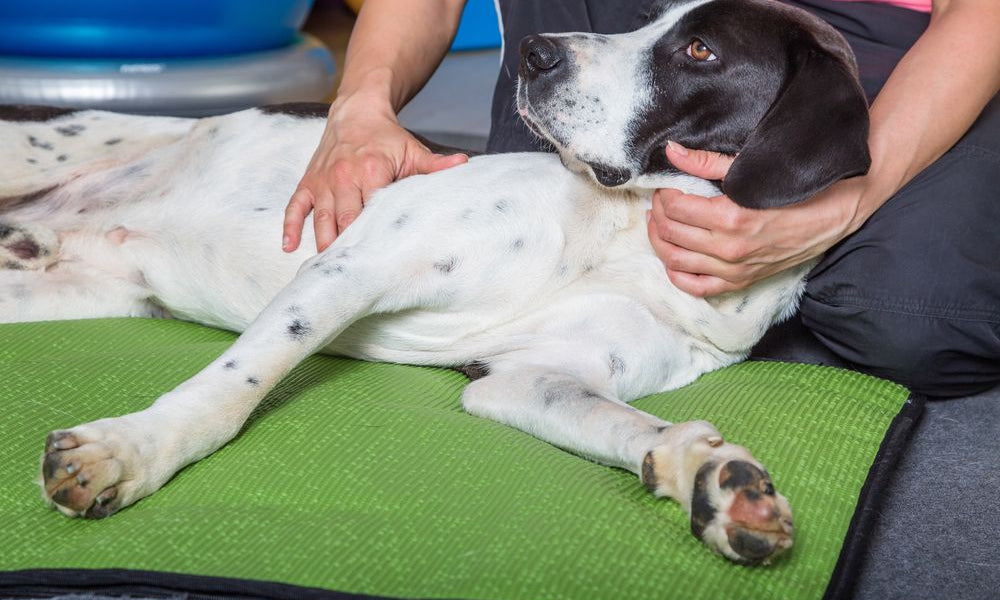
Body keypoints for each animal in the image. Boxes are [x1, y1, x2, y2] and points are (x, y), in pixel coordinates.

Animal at [1, 0, 868, 568]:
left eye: (699, 52)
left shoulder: (527, 379)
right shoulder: (352, 266)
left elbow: (635, 428)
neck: (629, 236)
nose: (535, 52)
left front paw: (710, 482)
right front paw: (132, 451)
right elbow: (231, 388)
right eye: (653, 23)